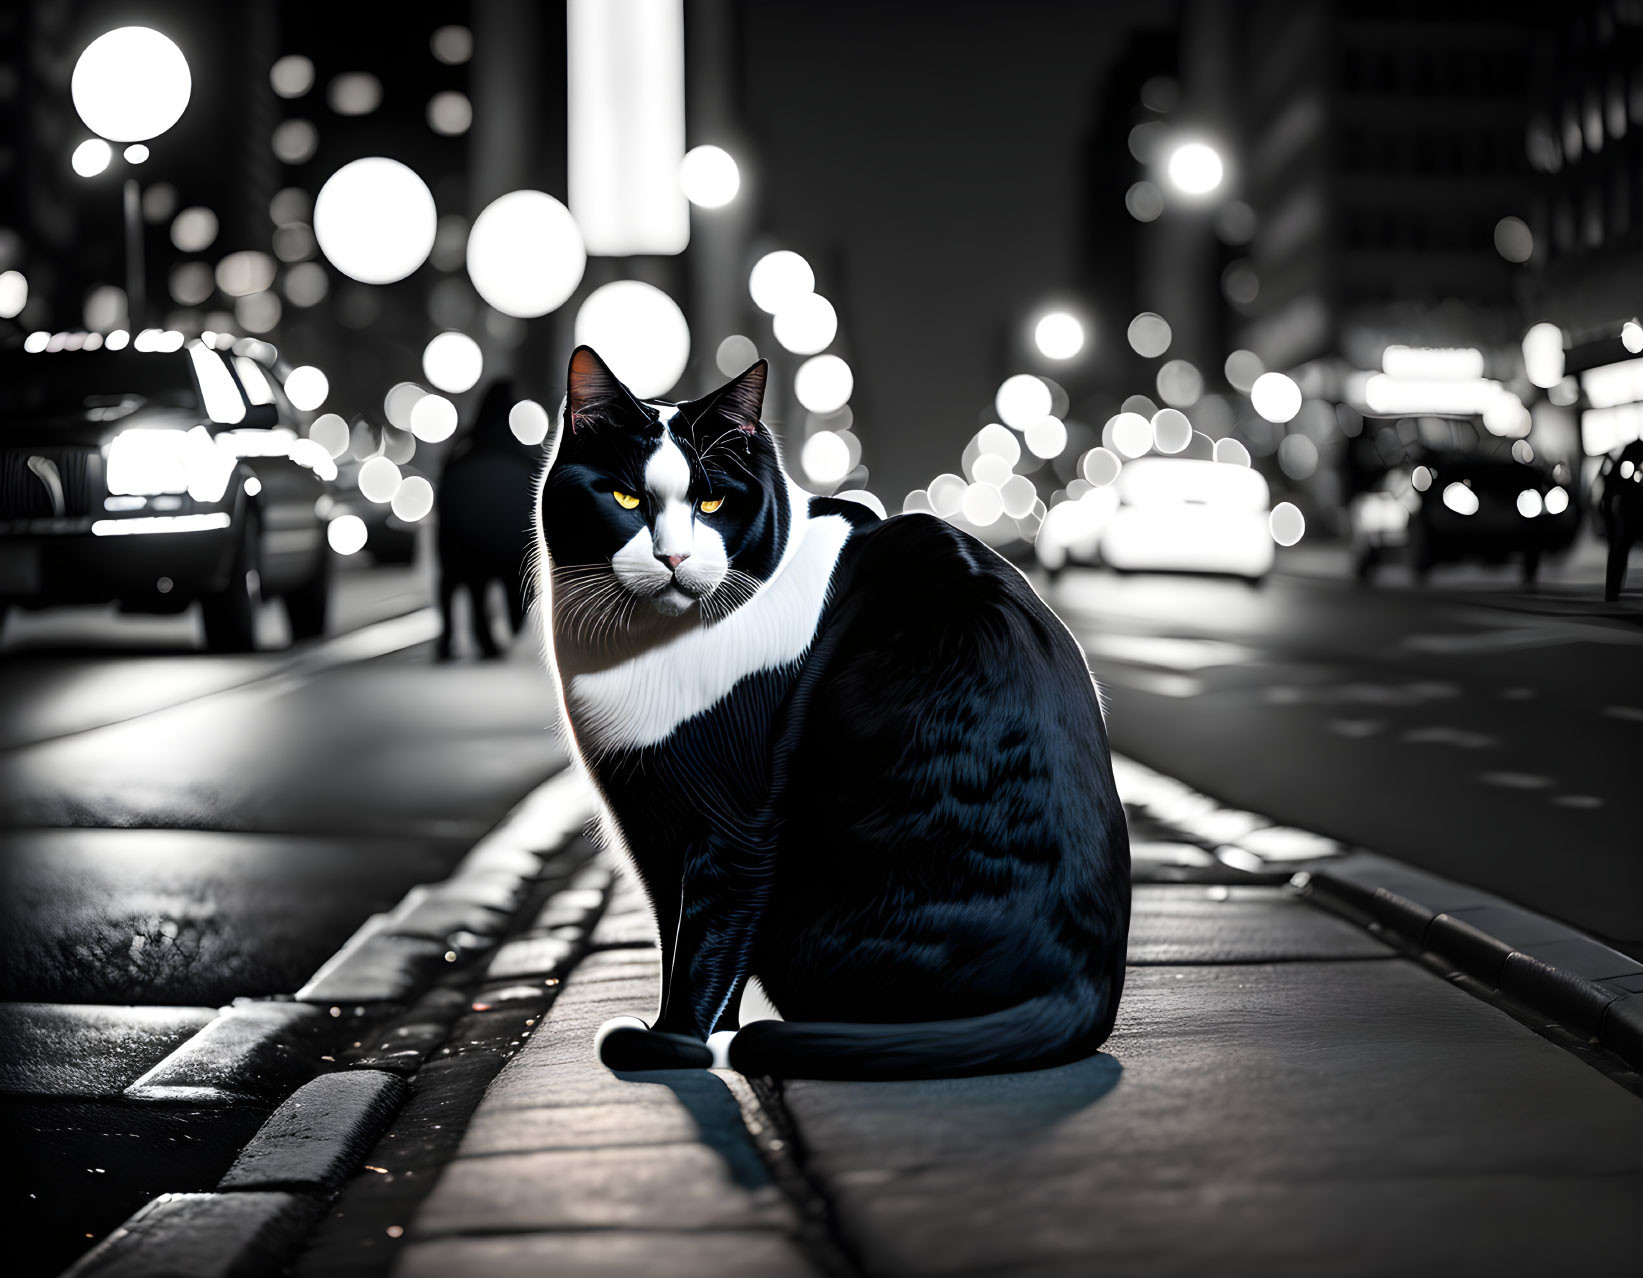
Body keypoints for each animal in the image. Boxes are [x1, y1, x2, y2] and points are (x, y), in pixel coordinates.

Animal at [535, 348, 1130, 1077]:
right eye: (625, 498)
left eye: (711, 501)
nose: (672, 557)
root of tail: (1086, 989)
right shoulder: (653, 828)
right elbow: (684, 940)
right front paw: (696, 1036)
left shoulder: (733, 823)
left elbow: (704, 946)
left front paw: (672, 1043)